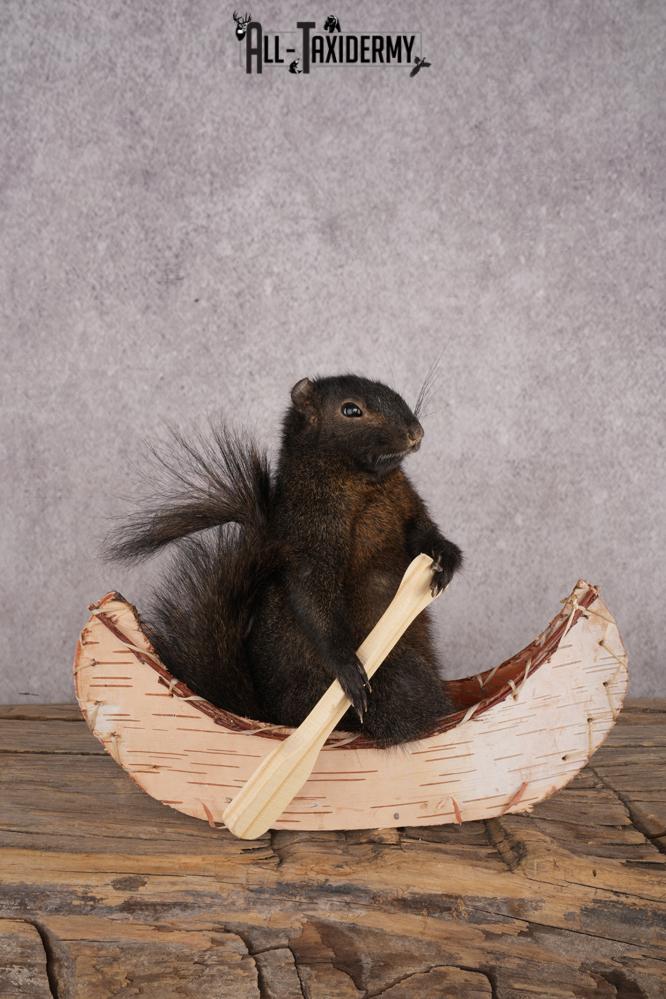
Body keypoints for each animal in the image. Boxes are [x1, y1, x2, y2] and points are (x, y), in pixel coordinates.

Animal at [104, 374, 463, 747]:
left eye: (393, 392)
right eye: (351, 410)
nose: (416, 432)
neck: (367, 481)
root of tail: (274, 716)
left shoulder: (407, 502)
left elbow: (422, 530)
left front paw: (445, 559)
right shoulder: (309, 533)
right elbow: (313, 596)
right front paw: (348, 670)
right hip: (397, 681)